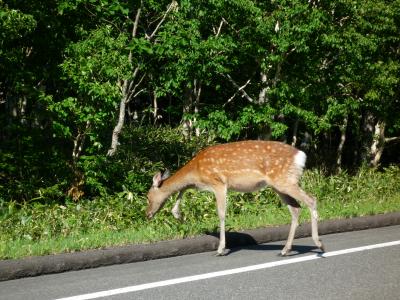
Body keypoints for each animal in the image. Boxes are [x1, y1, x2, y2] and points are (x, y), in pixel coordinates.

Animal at [147, 141, 324, 255]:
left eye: (148, 197)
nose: (147, 214)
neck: (196, 170)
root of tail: (301, 156)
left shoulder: (218, 183)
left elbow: (221, 214)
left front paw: (221, 249)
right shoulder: (198, 185)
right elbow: (182, 189)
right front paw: (177, 214)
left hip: (284, 180)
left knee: (311, 199)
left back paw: (319, 244)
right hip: (279, 184)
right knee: (296, 208)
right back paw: (285, 249)